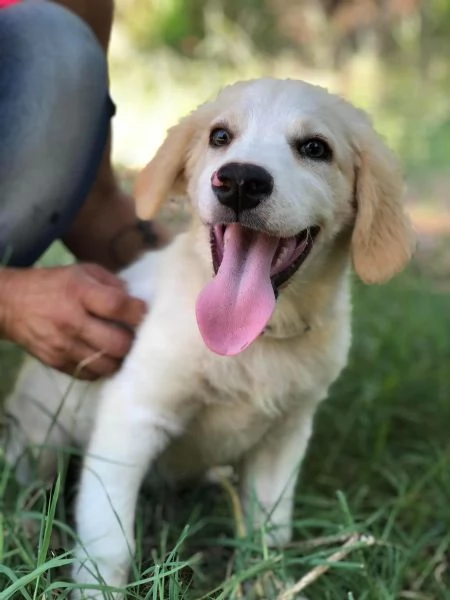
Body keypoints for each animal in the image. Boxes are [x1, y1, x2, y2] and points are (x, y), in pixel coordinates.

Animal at [3, 78, 414, 596]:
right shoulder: (132, 419)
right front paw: (98, 589)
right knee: (29, 482)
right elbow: (108, 541)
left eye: (315, 148)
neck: (256, 342)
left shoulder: (285, 437)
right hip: (41, 435)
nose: (239, 180)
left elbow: (269, 533)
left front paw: (266, 583)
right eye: (220, 136)